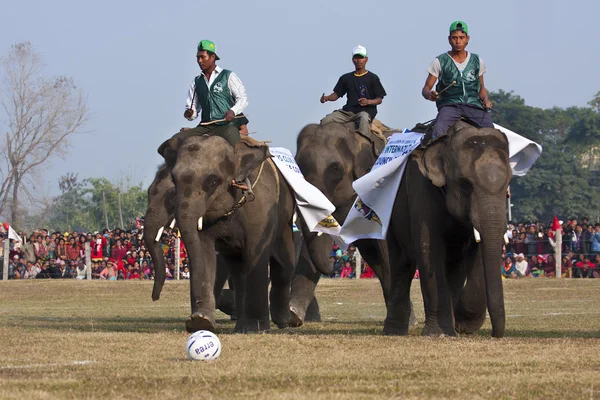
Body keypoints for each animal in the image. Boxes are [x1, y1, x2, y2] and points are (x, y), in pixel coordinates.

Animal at [159, 133, 298, 332]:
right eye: (174, 179)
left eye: (212, 181)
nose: (194, 317)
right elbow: (203, 249)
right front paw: (201, 321)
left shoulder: (260, 208)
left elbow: (256, 254)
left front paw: (256, 328)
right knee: (239, 273)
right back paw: (241, 327)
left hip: (285, 218)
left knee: (284, 266)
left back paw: (283, 322)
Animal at [384, 121, 510, 338]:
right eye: (465, 185)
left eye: (508, 185)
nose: (496, 334)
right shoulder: (422, 190)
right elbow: (429, 250)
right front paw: (439, 333)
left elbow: (478, 256)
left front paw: (464, 325)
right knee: (401, 263)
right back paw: (394, 331)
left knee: (454, 267)